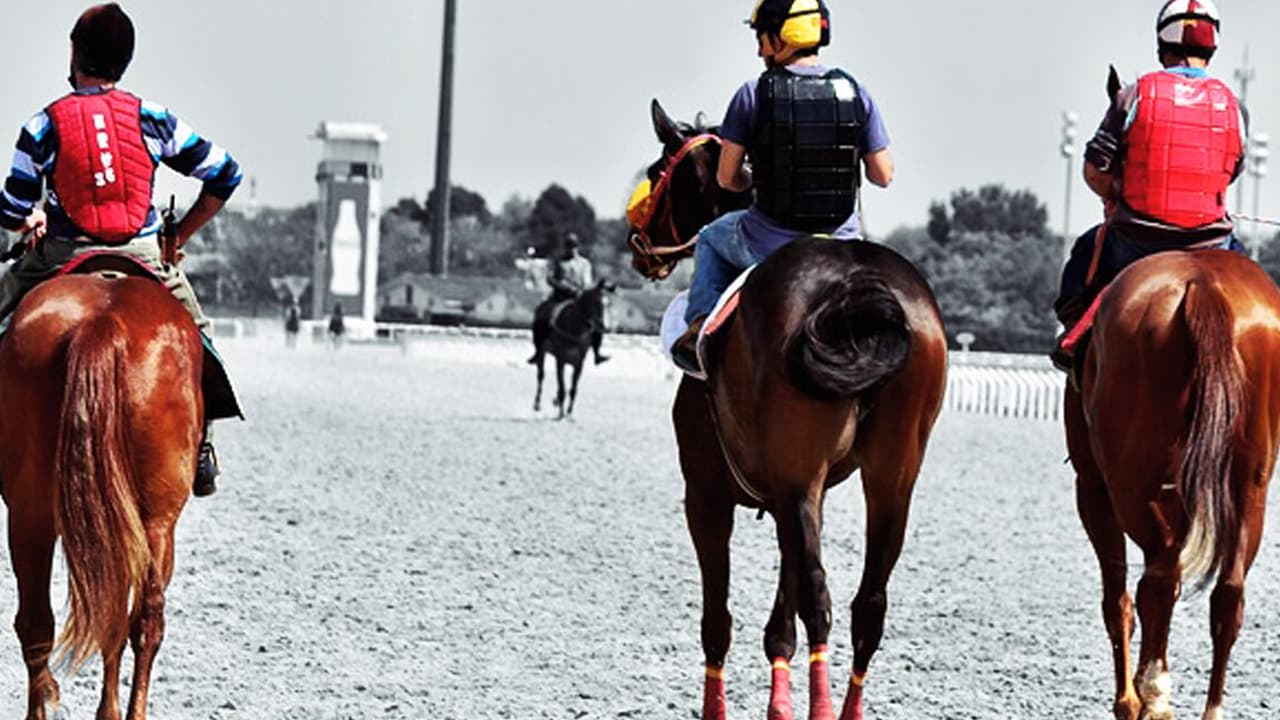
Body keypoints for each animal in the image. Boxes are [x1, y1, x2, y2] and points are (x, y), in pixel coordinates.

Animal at [532, 279, 614, 419]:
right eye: (595, 302)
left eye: (608, 303)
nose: (604, 327)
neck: (574, 328)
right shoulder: (560, 360)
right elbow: (562, 387)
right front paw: (561, 413)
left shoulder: (579, 363)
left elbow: (573, 389)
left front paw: (569, 413)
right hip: (542, 352)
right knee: (540, 375)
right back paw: (537, 404)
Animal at [630, 100, 948, 720]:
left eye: (657, 172)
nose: (638, 244)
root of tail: (858, 285)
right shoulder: (793, 493)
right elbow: (784, 611)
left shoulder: (708, 493)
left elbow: (719, 619)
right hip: (891, 478)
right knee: (867, 603)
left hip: (800, 474)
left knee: (821, 597)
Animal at [1066, 248, 1280, 720]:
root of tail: (1204, 284)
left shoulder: (1092, 487)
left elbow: (1117, 599)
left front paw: (1127, 701)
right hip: (1250, 486)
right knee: (1228, 591)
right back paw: (1209, 709)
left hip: (1133, 484)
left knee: (1157, 580)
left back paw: (1152, 696)